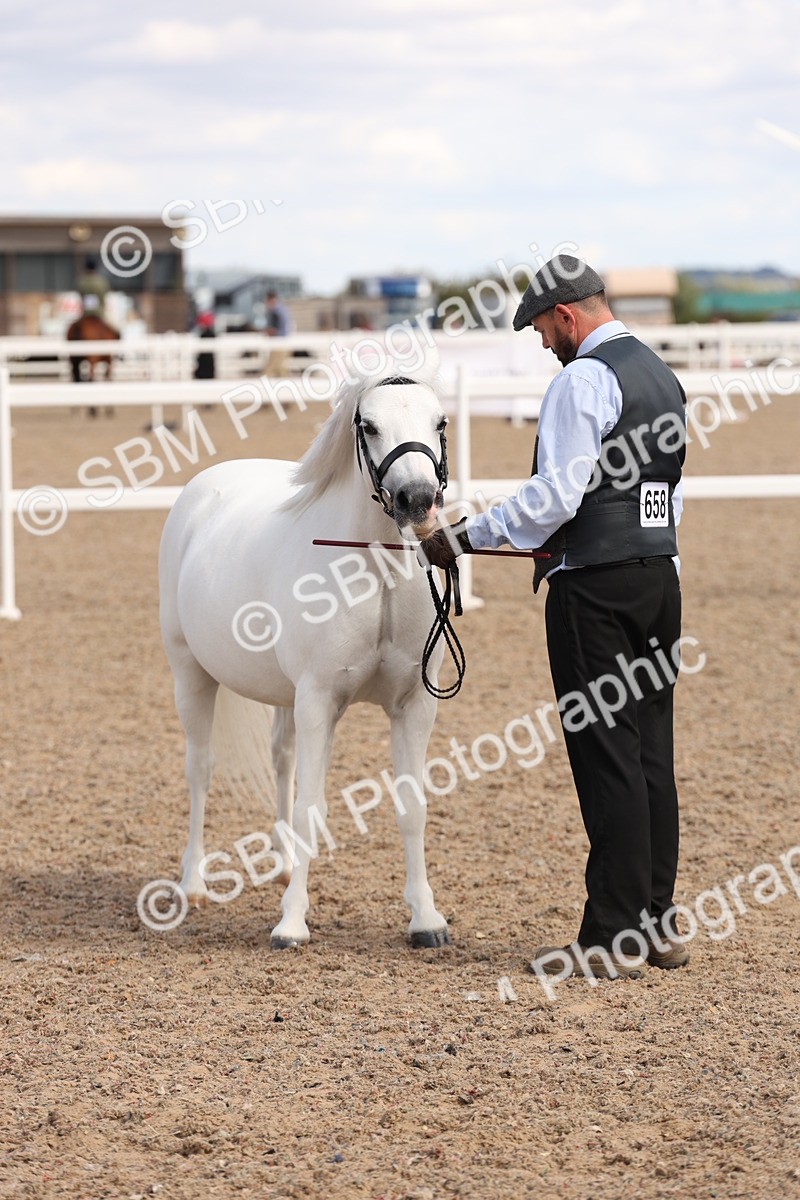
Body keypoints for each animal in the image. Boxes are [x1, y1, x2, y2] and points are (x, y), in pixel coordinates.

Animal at [158, 360, 452, 950]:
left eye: (440, 422)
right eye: (369, 426)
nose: (416, 500)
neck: (374, 575)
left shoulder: (412, 707)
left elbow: (412, 808)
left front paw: (425, 919)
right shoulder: (320, 702)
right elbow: (311, 810)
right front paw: (291, 924)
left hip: (282, 697)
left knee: (281, 760)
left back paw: (282, 862)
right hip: (191, 675)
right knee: (200, 770)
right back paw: (194, 883)